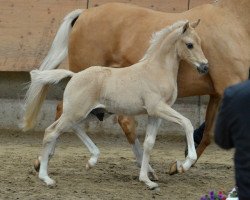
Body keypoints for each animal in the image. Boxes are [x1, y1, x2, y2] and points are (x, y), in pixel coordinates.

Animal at [22, 20, 208, 189]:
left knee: (72, 128)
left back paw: (91, 160)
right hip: (76, 112)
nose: (205, 67)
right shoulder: (157, 107)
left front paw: (147, 180)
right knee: (51, 132)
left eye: (200, 42)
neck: (156, 70)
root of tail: (74, 75)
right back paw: (46, 178)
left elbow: (148, 144)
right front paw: (184, 165)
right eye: (190, 44)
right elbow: (187, 123)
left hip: (88, 113)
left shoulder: (155, 114)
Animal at [28, 0, 248, 175]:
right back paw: (43, 161)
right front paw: (182, 163)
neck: (235, 20)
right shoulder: (228, 86)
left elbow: (207, 135)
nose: (204, 66)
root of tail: (84, 13)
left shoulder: (217, 94)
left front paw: (179, 165)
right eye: (190, 45)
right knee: (64, 115)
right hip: (85, 92)